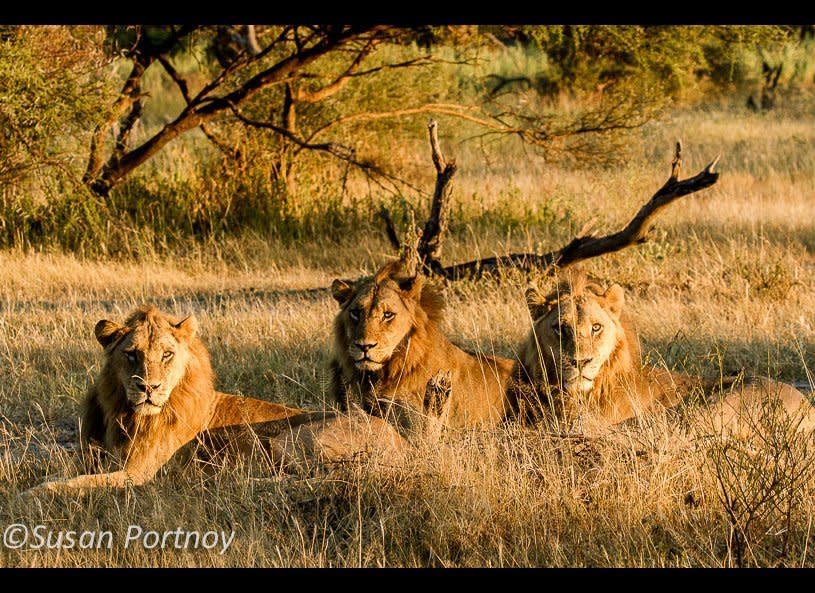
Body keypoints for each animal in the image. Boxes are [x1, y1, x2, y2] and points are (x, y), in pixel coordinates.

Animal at [23, 306, 406, 494]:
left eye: (166, 355)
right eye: (131, 355)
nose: (149, 388)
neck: (126, 413)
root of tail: (402, 444)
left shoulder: (138, 473)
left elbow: (76, 484)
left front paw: (32, 493)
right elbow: (67, 469)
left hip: (292, 439)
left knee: (329, 479)